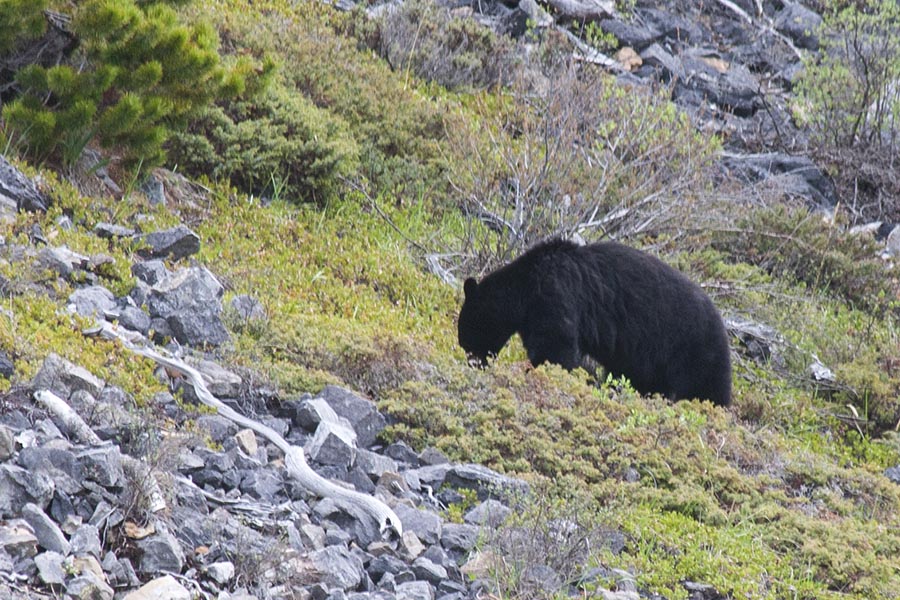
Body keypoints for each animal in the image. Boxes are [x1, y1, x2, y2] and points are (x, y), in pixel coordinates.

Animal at [458, 239, 732, 408]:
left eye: (466, 335)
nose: (472, 361)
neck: (525, 288)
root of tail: (722, 321)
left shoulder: (555, 294)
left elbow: (555, 347)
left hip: (694, 349)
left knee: (707, 388)